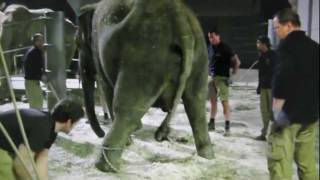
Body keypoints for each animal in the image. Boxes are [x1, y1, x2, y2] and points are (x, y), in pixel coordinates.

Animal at [78, 0, 215, 172]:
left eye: (79, 44)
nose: (100, 132)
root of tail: (180, 20)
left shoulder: (98, 50)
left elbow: (106, 86)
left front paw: (130, 140)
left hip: (145, 58)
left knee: (127, 108)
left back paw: (105, 166)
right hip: (200, 57)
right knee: (196, 105)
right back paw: (207, 157)